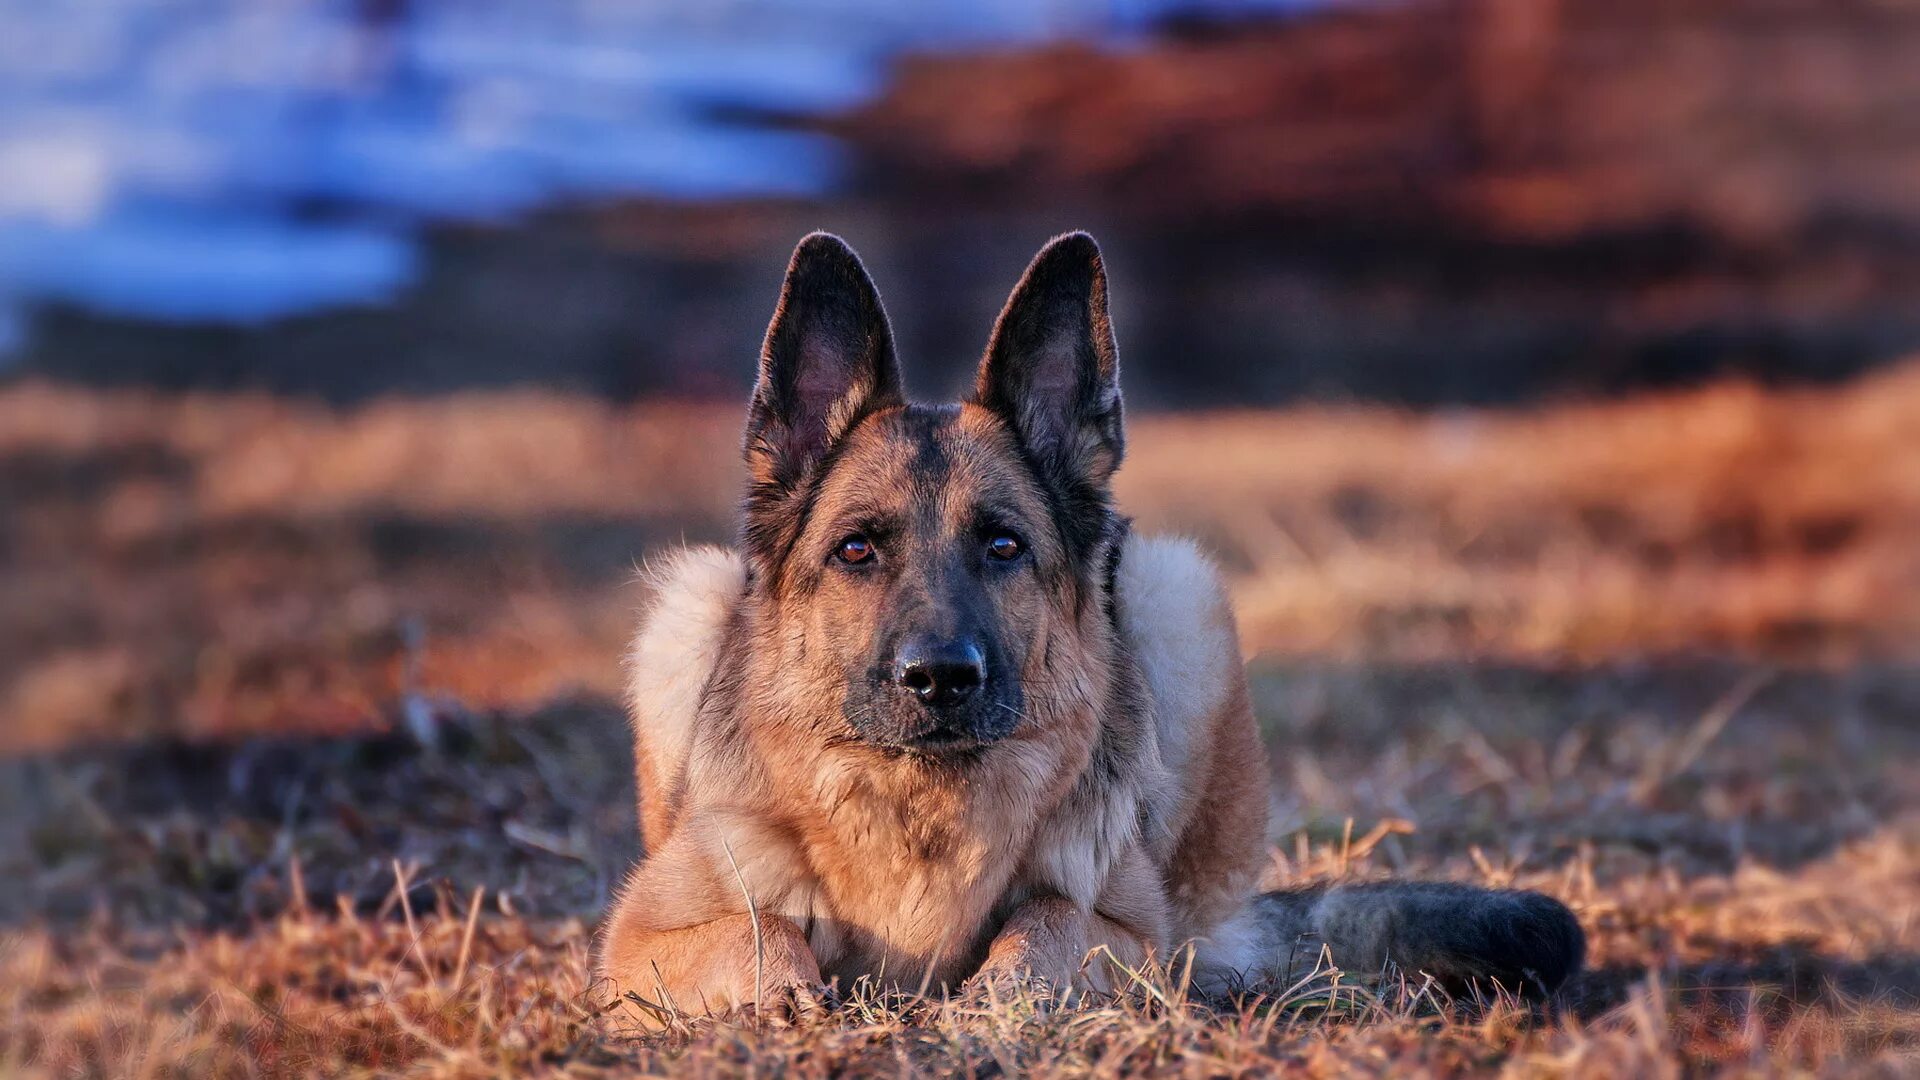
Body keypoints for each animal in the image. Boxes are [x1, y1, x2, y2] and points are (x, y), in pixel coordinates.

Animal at [591, 231, 1582, 1014]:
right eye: (856, 550)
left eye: (1003, 546)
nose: (941, 679)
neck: (921, 808)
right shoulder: (637, 939)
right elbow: (754, 933)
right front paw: (787, 995)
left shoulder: (1127, 930)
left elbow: (1050, 922)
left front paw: (1000, 997)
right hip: (684, 600)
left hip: (1179, 594)